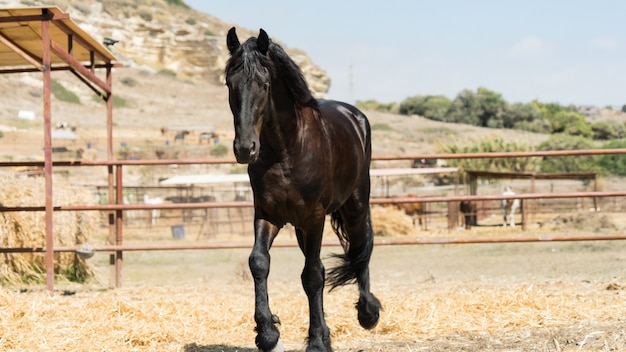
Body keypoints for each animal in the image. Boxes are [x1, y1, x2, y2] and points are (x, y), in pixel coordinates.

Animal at [224, 28, 380, 352]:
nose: (245, 148)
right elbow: (259, 262)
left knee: (360, 249)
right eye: (230, 83)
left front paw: (317, 341)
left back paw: (368, 313)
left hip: (355, 206)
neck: (287, 149)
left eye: (265, 84)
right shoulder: (268, 215)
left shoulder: (314, 218)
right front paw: (268, 334)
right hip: (299, 228)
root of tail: (356, 117)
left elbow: (313, 275)